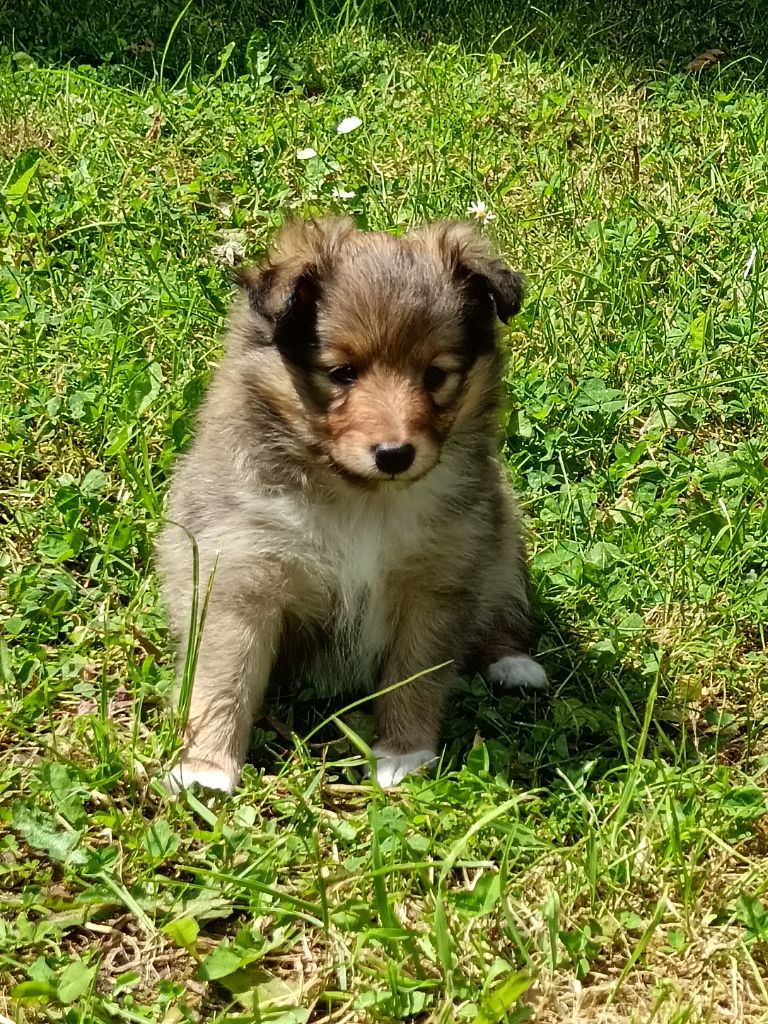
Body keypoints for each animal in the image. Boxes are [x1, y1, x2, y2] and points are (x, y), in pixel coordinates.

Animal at [157, 216, 548, 790]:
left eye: (435, 375)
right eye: (342, 373)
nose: (394, 454)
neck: (360, 498)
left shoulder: (437, 579)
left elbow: (415, 674)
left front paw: (403, 754)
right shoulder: (242, 575)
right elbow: (226, 677)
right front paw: (206, 770)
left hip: (500, 540)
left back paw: (513, 664)